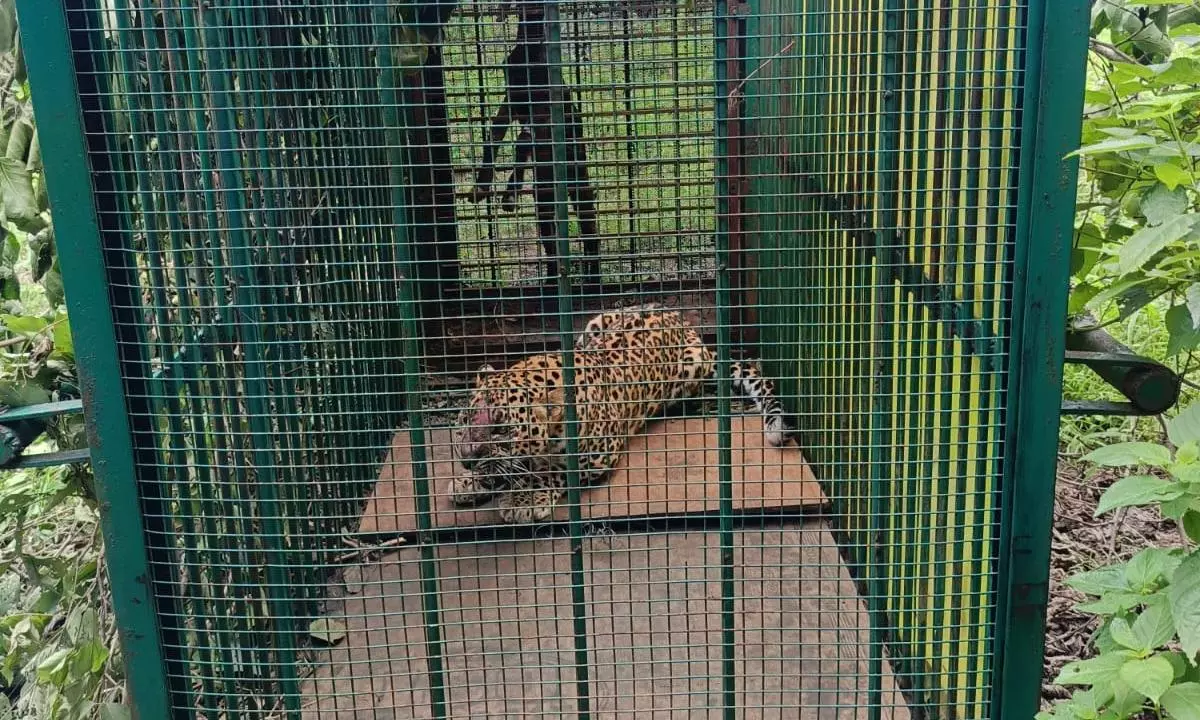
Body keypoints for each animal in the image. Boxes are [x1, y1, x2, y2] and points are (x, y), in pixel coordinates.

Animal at [448, 303, 791, 524]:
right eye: (464, 420)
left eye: (501, 429)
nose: (466, 459)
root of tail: (685, 323)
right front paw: (469, 482)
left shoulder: (596, 457)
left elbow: (550, 471)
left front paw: (524, 498)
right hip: (594, 324)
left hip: (690, 369)